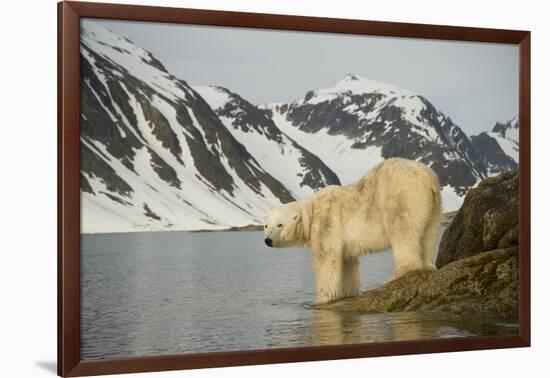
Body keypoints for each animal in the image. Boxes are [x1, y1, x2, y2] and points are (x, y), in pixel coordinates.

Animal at [264, 157, 444, 304]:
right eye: (266, 225)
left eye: (279, 225)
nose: (268, 240)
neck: (311, 212)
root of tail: (428, 177)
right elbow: (347, 265)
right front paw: (347, 293)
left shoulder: (326, 223)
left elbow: (325, 260)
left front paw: (321, 299)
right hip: (434, 206)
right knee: (428, 233)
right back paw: (428, 265)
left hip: (401, 195)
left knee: (402, 229)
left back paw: (400, 271)